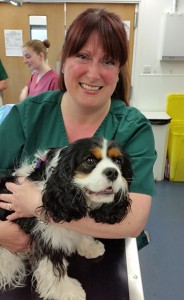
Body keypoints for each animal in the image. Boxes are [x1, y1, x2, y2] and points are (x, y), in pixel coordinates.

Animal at [0, 137, 132, 298]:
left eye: (118, 161)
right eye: (90, 160)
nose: (113, 172)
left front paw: (89, 246)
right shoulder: (47, 237)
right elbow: (53, 268)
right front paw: (67, 292)